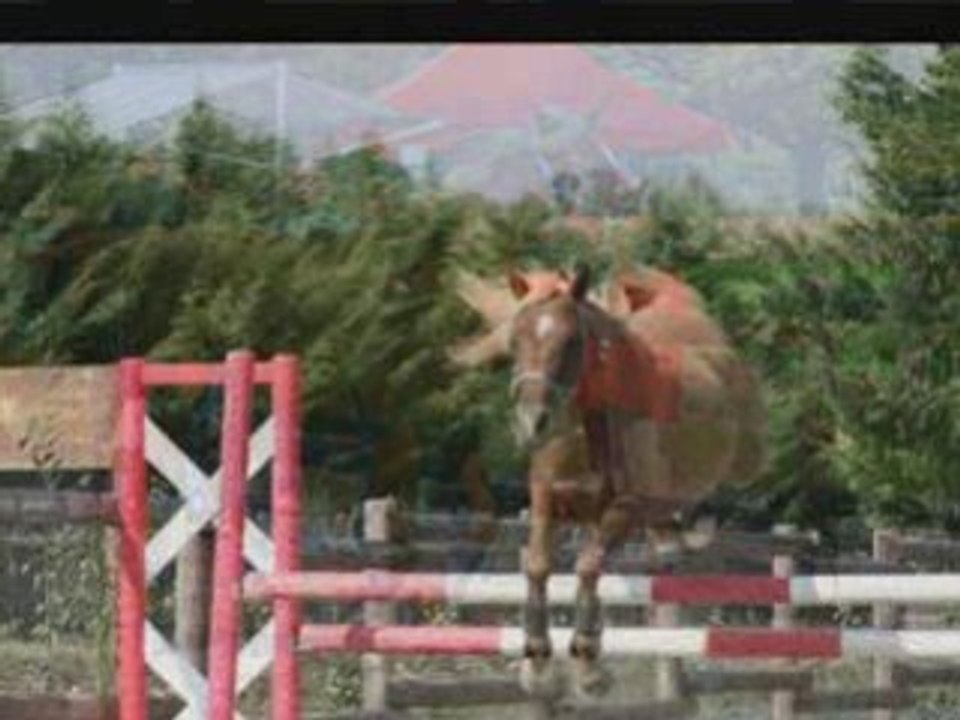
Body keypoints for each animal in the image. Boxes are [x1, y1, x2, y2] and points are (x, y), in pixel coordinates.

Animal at [448, 262, 768, 698]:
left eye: (571, 342)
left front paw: (587, 666)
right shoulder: (547, 501)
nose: (532, 424)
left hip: (745, 457)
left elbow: (588, 566)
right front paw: (538, 661)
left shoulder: (624, 510)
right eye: (514, 341)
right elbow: (539, 565)